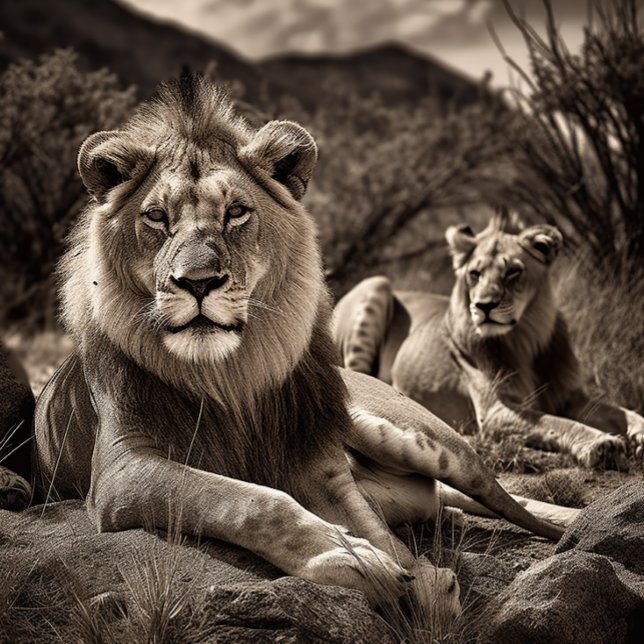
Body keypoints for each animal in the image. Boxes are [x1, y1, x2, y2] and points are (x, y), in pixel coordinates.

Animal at [2, 76, 577, 626]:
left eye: (236, 213)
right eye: (157, 217)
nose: (198, 282)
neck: (229, 371)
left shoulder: (316, 462)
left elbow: (373, 531)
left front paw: (408, 575)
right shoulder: (121, 473)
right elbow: (247, 499)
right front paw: (354, 561)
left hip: (413, 437)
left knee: (503, 495)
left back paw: (574, 526)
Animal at [334, 212, 644, 470]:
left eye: (513, 272)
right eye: (475, 274)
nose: (484, 305)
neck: (526, 340)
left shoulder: (570, 396)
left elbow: (624, 413)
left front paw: (637, 434)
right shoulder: (496, 410)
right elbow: (558, 423)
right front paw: (601, 444)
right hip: (377, 283)